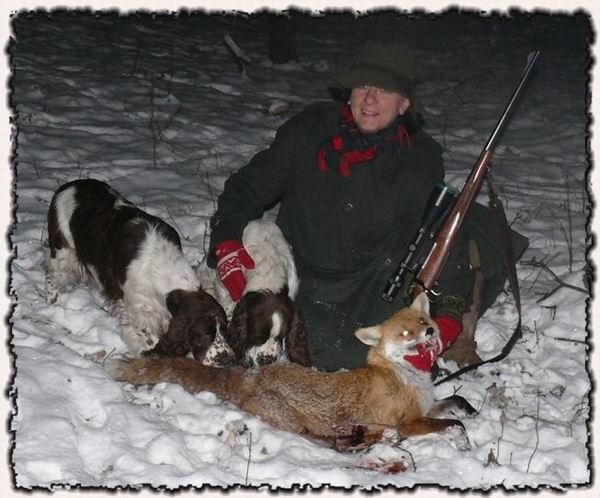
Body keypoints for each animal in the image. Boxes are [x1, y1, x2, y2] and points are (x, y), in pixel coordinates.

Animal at [46, 178, 232, 362]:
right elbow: (148, 335)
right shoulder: (136, 307)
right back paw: (52, 300)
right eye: (205, 334)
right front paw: (147, 350)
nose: (227, 359)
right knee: (52, 276)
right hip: (63, 251)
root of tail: (68, 185)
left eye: (223, 329)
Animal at [108, 293, 476, 451]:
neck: (410, 377)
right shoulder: (410, 422)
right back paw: (362, 440)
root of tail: (247, 376)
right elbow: (451, 424)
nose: (431, 332)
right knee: (319, 440)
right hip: (296, 423)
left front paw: (471, 412)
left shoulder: (426, 406)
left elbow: (456, 402)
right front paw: (462, 436)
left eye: (425, 323)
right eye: (406, 334)